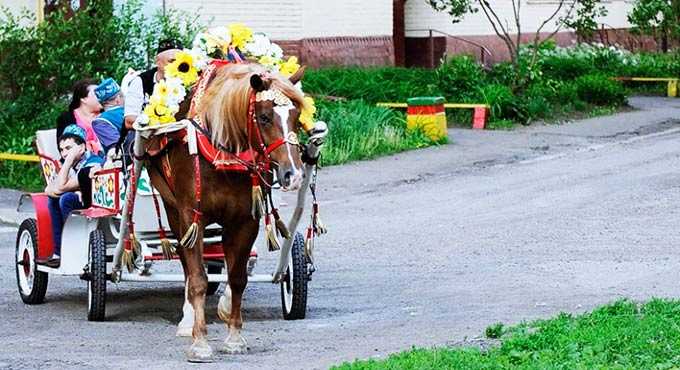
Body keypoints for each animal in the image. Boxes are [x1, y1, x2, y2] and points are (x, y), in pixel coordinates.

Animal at [148, 62, 308, 362]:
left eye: (296, 116)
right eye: (265, 117)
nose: (293, 174)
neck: (223, 153)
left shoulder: (244, 221)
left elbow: (237, 277)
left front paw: (234, 336)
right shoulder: (192, 218)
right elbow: (198, 278)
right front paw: (199, 342)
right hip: (173, 211)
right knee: (187, 265)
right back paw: (188, 319)